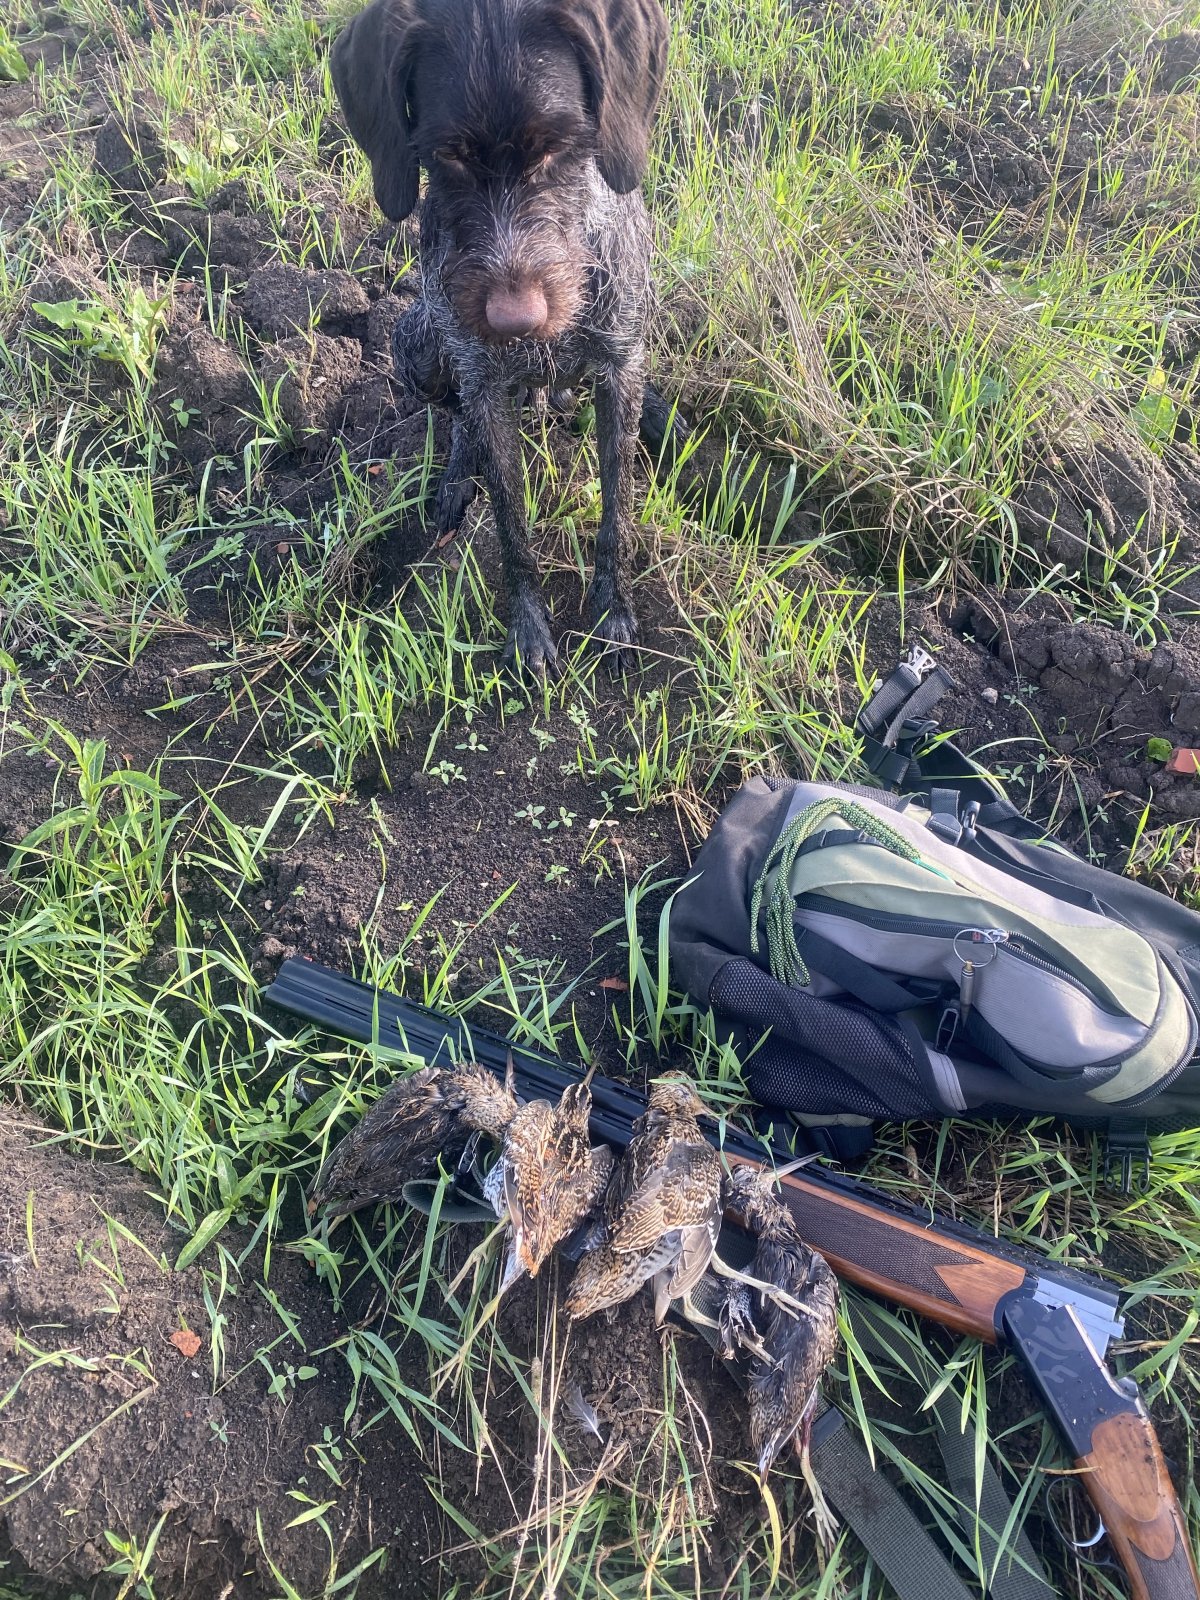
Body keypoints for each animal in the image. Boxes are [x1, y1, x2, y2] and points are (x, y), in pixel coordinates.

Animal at [331, 0, 669, 674]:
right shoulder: (481, 380)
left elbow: (616, 507)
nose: (516, 321)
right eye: (447, 155)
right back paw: (458, 477)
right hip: (418, 345)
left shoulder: (618, 368)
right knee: (459, 420)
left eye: (557, 147)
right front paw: (529, 627)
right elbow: (512, 520)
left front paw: (613, 608)